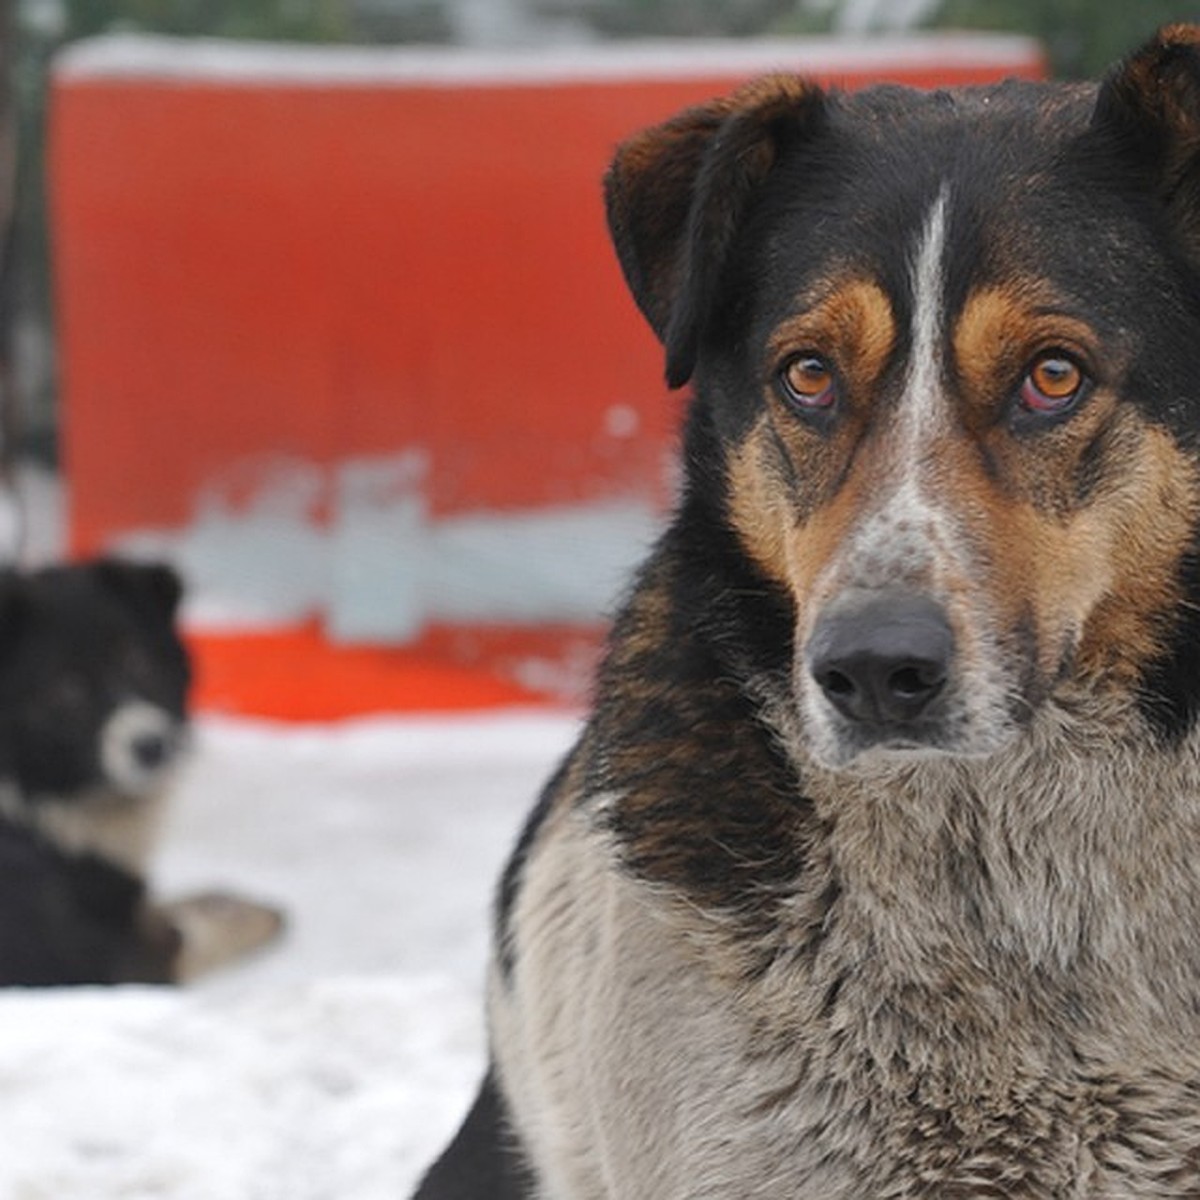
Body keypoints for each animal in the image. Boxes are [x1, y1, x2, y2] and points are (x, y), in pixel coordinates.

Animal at [0, 556, 282, 988]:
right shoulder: (111, 963)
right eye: (66, 688)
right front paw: (246, 915)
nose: (152, 748)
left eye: (138, 660)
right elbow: (185, 934)